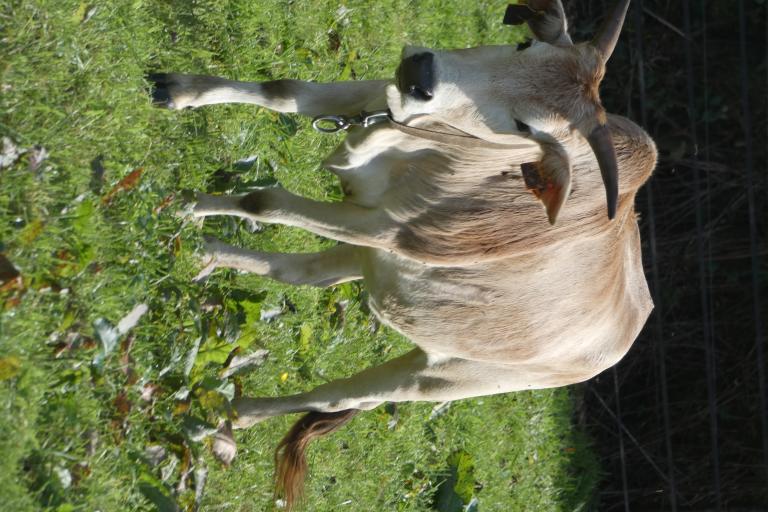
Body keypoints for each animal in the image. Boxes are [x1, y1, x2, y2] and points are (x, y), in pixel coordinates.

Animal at [148, 0, 656, 504]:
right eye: (523, 44)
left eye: (523, 126)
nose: (421, 75)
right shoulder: (379, 103)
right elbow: (283, 91)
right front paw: (174, 90)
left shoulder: (379, 228)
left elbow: (265, 201)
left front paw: (187, 204)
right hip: (381, 266)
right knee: (305, 274)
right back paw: (209, 259)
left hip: (440, 376)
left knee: (340, 396)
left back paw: (229, 416)